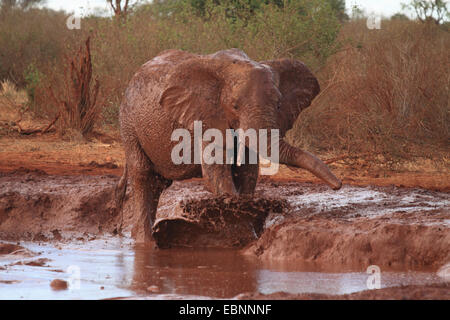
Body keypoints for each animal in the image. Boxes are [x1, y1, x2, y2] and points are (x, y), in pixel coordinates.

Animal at [115, 48, 342, 242]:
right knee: (143, 175)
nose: (337, 185)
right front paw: (240, 233)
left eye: (279, 105)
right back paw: (145, 242)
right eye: (234, 106)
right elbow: (217, 175)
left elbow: (247, 172)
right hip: (129, 123)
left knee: (158, 183)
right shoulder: (206, 116)